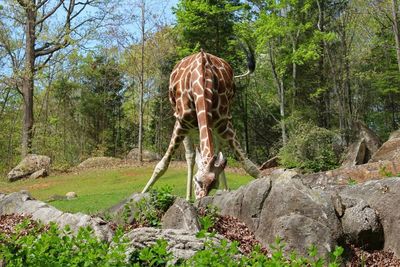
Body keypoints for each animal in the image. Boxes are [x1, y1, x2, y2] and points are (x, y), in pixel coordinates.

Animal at [142, 48, 260, 201]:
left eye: (214, 185)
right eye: (197, 180)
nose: (200, 199)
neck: (202, 86)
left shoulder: (223, 122)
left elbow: (250, 166)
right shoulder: (181, 122)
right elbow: (161, 165)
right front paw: (142, 193)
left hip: (213, 126)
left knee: (216, 150)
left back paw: (225, 190)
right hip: (187, 126)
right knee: (190, 156)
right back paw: (188, 198)